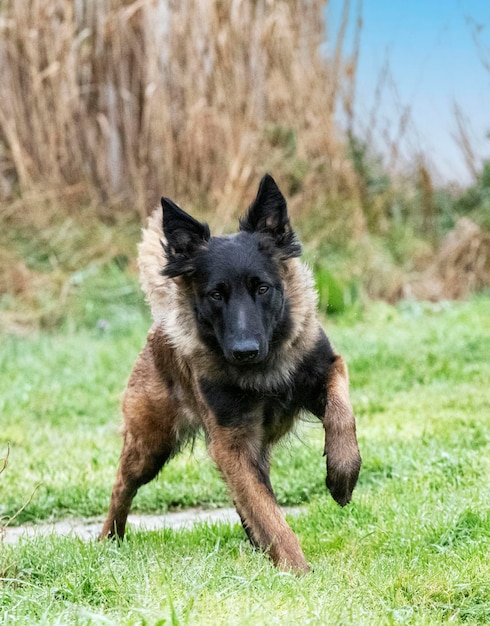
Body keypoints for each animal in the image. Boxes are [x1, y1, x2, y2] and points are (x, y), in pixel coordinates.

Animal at [100, 174, 360, 572]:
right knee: (122, 486)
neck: (263, 372)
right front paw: (298, 570)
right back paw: (107, 540)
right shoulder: (232, 444)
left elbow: (342, 414)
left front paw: (343, 473)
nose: (245, 351)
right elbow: (268, 513)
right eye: (216, 295)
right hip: (150, 446)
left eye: (262, 288)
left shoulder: (326, 370)